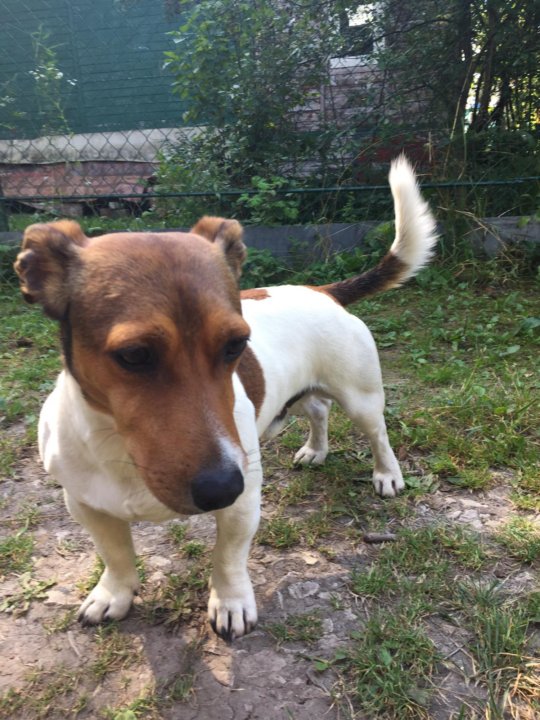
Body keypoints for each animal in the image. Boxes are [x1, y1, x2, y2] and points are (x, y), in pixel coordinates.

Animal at [14, 156, 437, 641]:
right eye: (134, 355)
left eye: (236, 345)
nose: (221, 487)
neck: (122, 449)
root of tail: (321, 290)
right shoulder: (85, 504)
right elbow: (116, 556)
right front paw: (113, 594)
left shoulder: (243, 502)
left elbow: (228, 557)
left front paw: (230, 602)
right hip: (298, 395)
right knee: (317, 409)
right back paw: (315, 449)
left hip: (361, 398)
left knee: (377, 435)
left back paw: (387, 475)